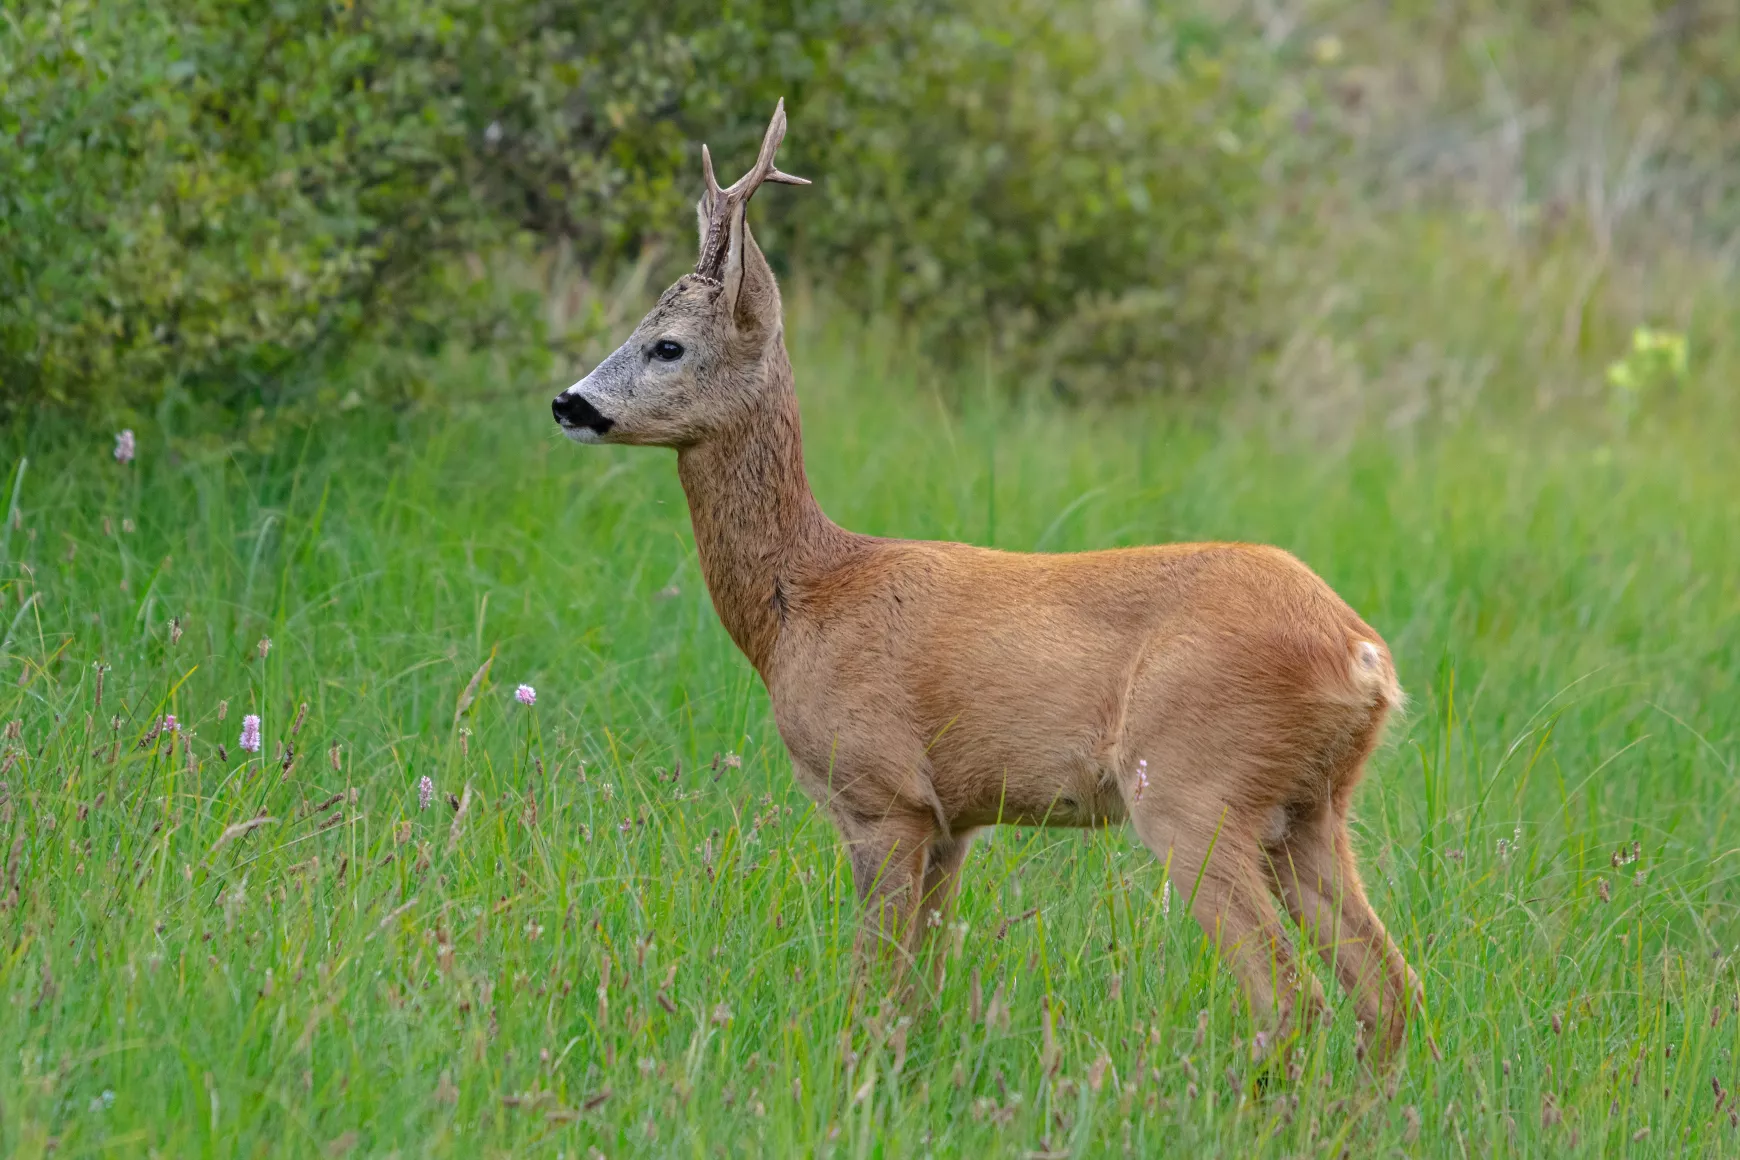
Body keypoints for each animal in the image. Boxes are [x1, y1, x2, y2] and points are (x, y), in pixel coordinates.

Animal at [549, 100, 1419, 1064]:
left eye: (666, 345)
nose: (569, 403)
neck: (804, 599)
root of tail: (1362, 654)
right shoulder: (953, 820)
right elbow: (914, 999)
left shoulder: (882, 794)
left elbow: (870, 991)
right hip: (1310, 810)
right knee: (1391, 991)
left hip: (1192, 784)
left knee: (1292, 999)